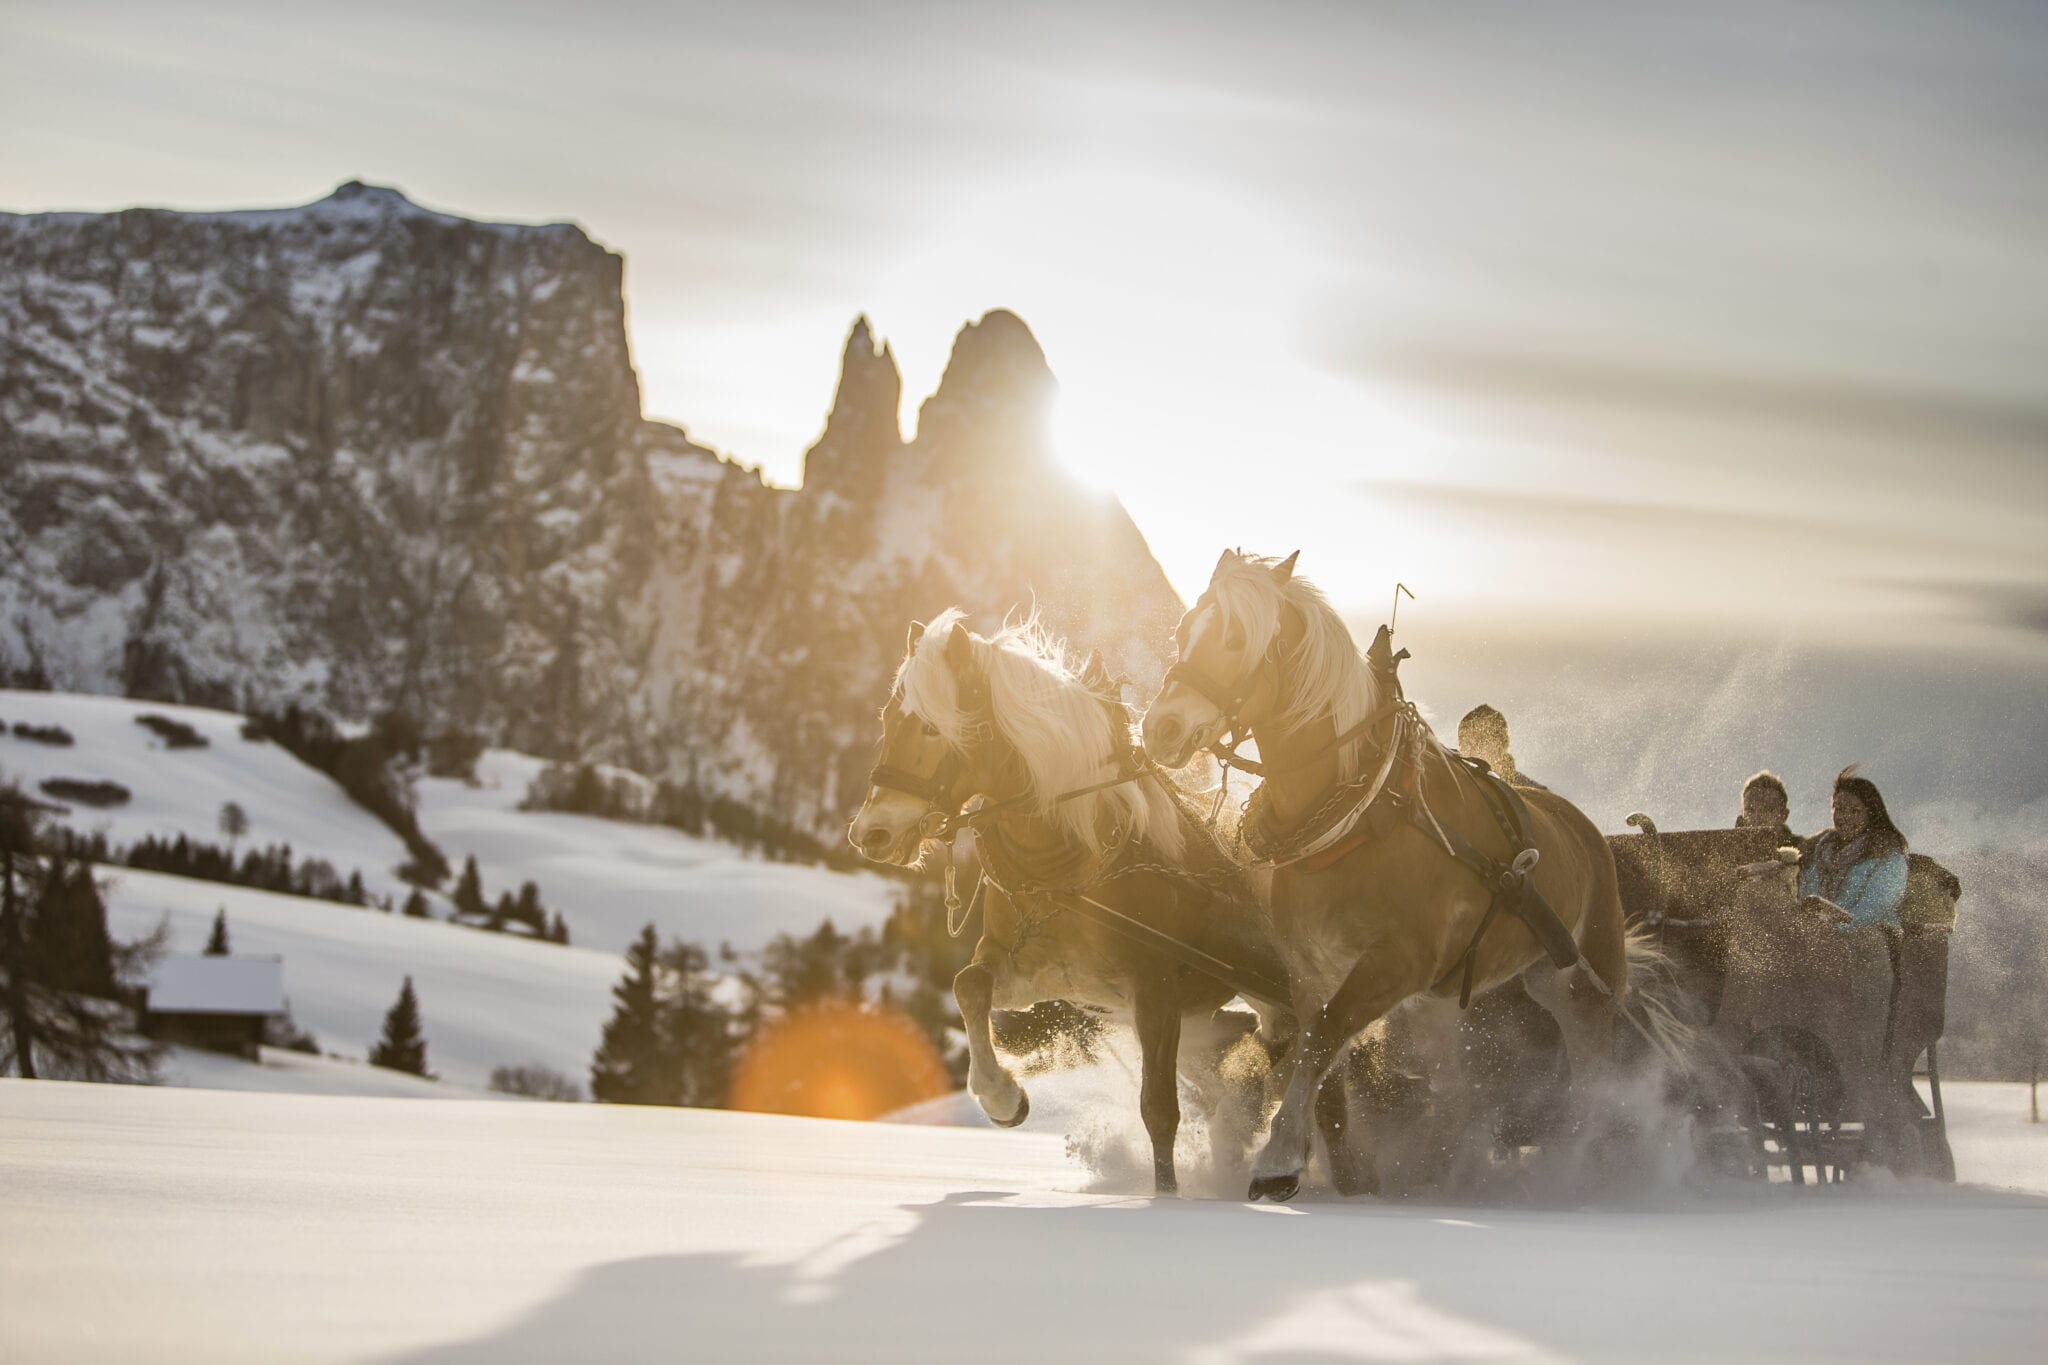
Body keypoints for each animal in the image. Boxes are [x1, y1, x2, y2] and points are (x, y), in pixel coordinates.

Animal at [847, 609, 1277, 1195]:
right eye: (889, 718)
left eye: (933, 727)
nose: (871, 833)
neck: (1072, 866)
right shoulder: (1041, 974)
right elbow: (969, 985)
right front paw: (1003, 1098)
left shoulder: (1156, 990)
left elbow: (1159, 1110)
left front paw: (1167, 1197)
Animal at [1146, 548, 1671, 1203]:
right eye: (1181, 632)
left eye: (1236, 638)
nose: (1159, 727)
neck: (1363, 812)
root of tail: (1584, 828)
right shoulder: (1313, 966)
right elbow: (1317, 1053)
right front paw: (1333, 1164)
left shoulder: (1398, 963)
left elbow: (1324, 1038)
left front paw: (1279, 1158)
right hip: (1480, 992)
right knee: (1453, 1085)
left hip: (1582, 980)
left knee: (1595, 1069)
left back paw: (1586, 1163)